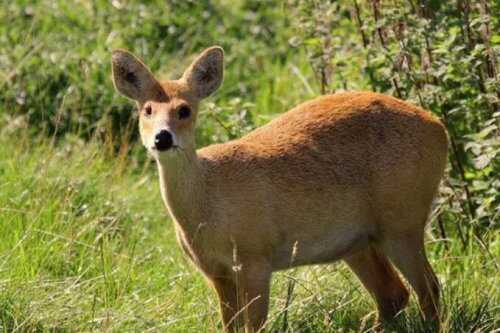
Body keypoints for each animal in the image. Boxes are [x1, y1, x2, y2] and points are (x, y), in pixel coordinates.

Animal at [111, 45, 448, 330]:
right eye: (147, 109)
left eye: (184, 110)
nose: (162, 138)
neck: (208, 206)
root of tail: (439, 128)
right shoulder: (216, 272)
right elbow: (230, 327)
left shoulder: (256, 259)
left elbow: (255, 326)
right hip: (358, 242)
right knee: (393, 294)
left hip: (402, 219)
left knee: (429, 289)